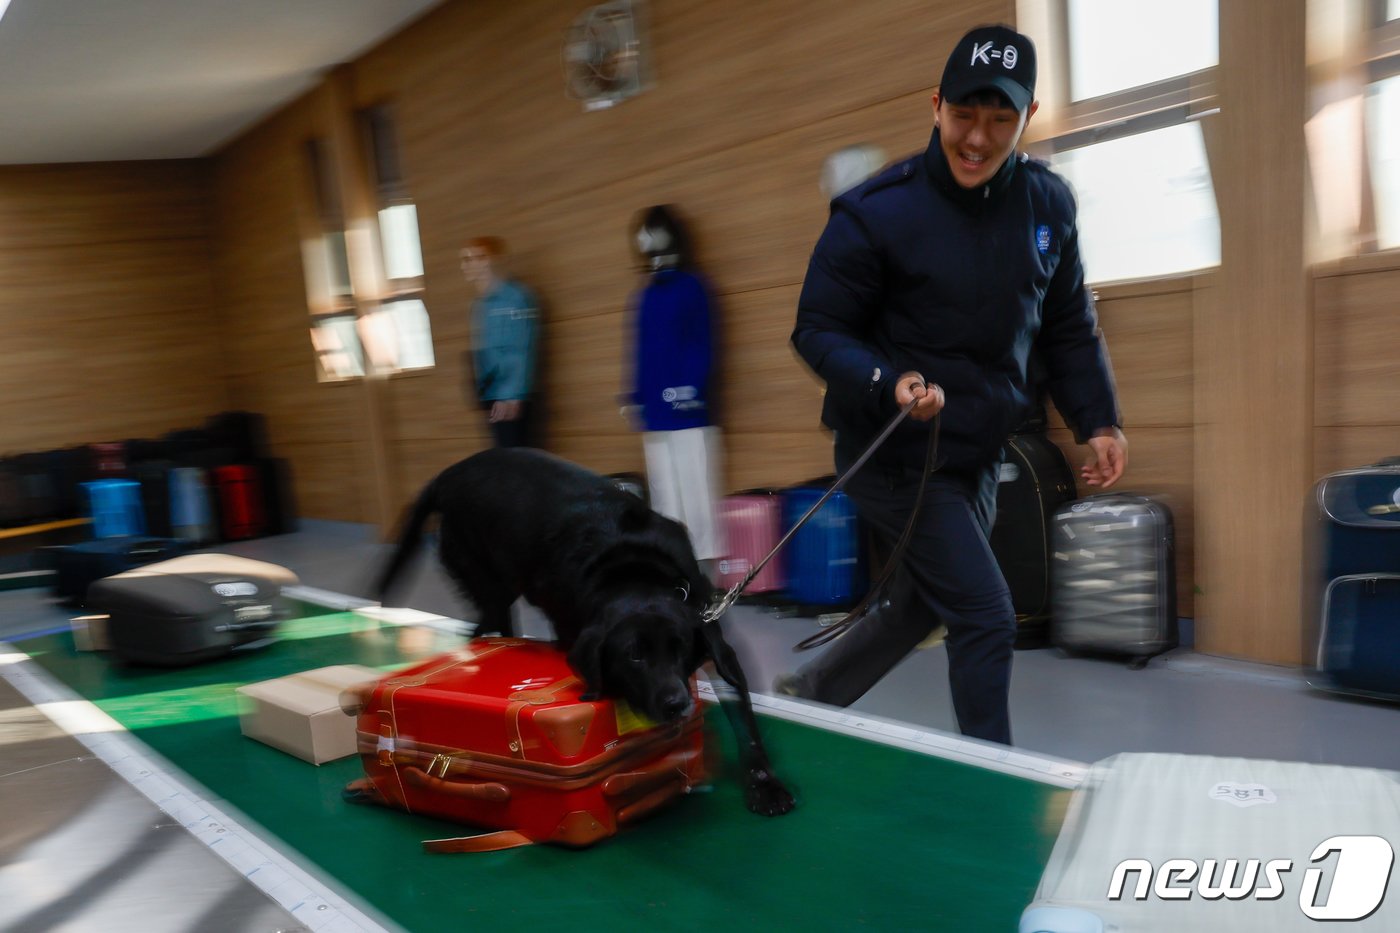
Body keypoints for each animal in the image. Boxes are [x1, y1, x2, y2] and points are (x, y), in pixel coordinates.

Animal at [375, 445, 800, 812]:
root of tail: (448, 476)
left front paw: (765, 785)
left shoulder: (716, 636)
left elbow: (745, 721)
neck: (631, 570)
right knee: (481, 626)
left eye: (679, 648)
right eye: (633, 656)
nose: (676, 704)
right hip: (489, 584)